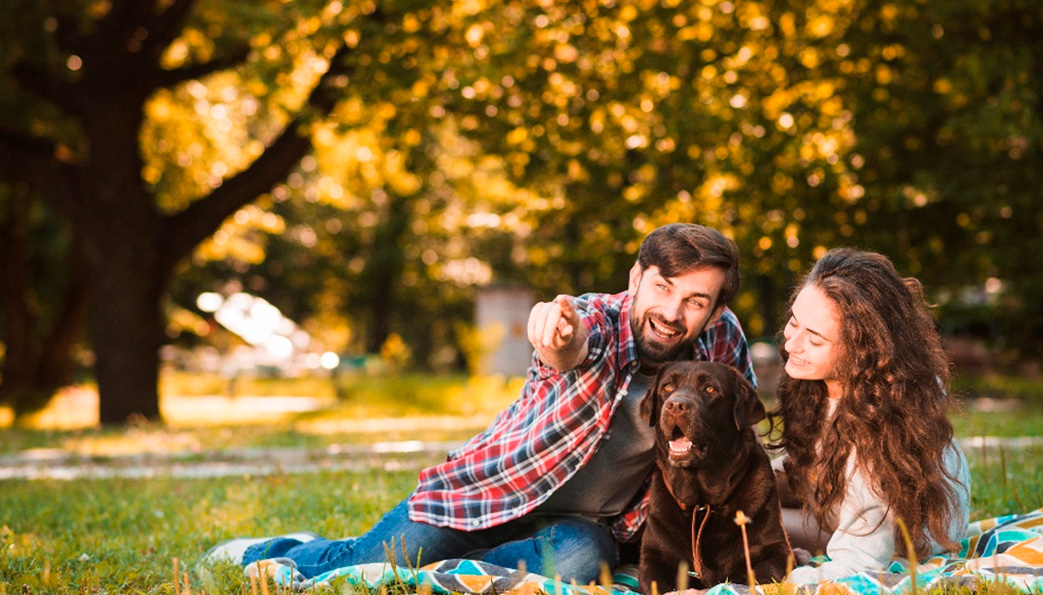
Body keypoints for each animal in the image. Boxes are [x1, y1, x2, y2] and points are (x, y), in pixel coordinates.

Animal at [634, 359, 788, 588]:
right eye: (667, 387)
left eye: (709, 389)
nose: (676, 405)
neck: (701, 502)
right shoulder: (652, 560)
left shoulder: (778, 550)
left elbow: (767, 572)